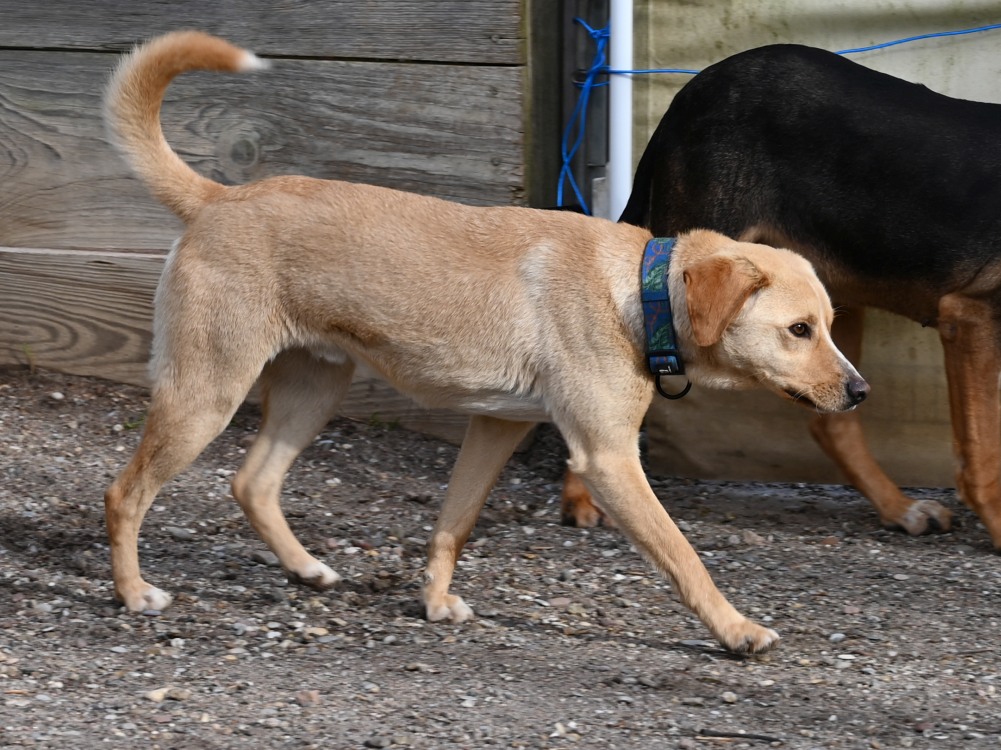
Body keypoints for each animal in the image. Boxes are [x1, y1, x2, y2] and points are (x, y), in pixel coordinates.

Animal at [102, 31, 868, 654]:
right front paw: (736, 630)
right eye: (799, 329)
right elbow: (684, 557)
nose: (861, 391)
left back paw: (305, 567)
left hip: (312, 389)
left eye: (828, 324)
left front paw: (435, 600)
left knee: (252, 482)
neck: (639, 291)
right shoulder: (608, 460)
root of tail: (219, 198)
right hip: (206, 393)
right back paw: (133, 592)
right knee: (125, 493)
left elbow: (455, 522)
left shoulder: (496, 428)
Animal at [561, 43, 1001, 546]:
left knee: (833, 422)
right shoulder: (971, 315)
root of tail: (693, 90)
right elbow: (986, 451)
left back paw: (899, 508)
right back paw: (580, 497)